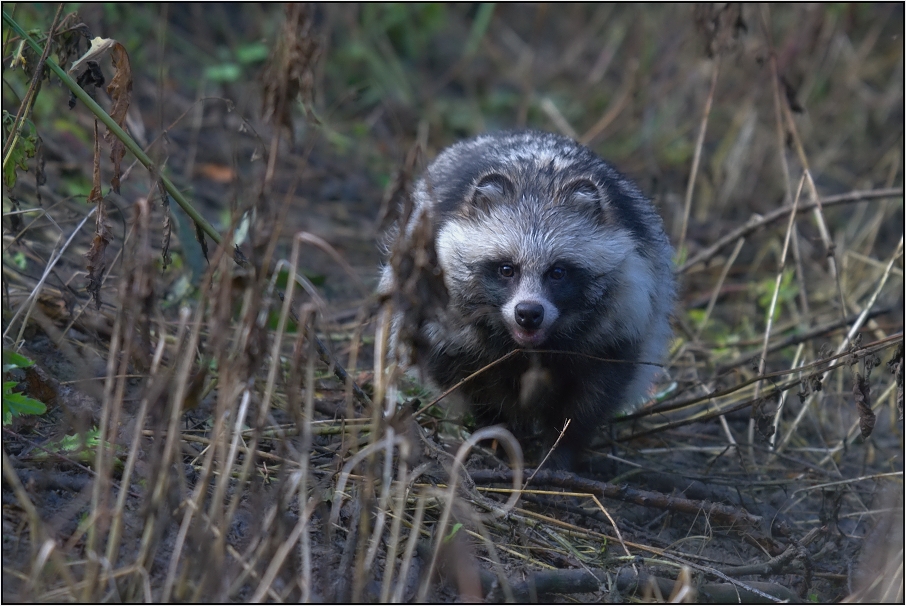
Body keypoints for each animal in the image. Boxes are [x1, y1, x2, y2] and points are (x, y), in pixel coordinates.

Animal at [380, 131, 672, 472]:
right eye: (507, 269)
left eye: (558, 272)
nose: (529, 313)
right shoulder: (444, 323)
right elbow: (476, 389)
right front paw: (500, 439)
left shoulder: (617, 327)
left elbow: (589, 400)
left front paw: (559, 454)